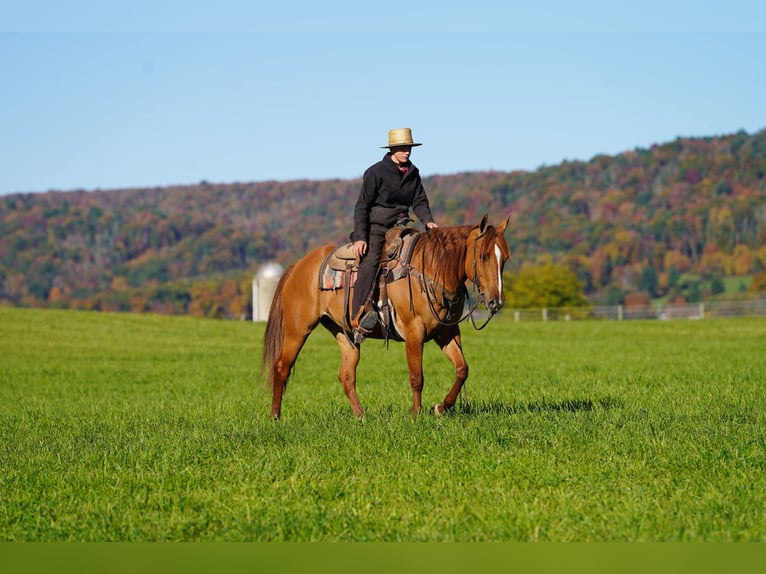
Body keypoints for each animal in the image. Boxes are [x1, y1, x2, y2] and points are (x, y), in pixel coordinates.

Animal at [260, 214, 511, 419]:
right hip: (297, 329)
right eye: (484, 255)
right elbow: (417, 377)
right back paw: (275, 417)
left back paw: (361, 416)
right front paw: (416, 415)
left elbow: (462, 369)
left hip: (344, 333)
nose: (496, 302)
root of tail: (298, 265)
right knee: (281, 367)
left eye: (505, 259)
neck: (431, 270)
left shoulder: (447, 331)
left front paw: (441, 407)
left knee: (346, 376)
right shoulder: (414, 332)